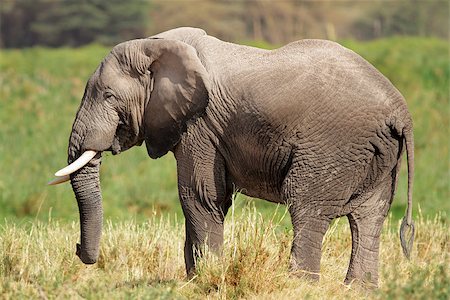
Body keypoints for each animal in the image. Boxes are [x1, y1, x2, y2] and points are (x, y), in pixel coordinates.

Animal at [49, 27, 414, 286]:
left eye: (108, 96)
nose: (78, 250)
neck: (155, 46)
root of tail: (401, 113)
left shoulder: (199, 125)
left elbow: (199, 195)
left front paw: (206, 280)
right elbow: (207, 199)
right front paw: (194, 279)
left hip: (333, 146)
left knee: (307, 207)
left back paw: (300, 286)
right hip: (379, 156)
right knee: (369, 217)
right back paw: (359, 290)